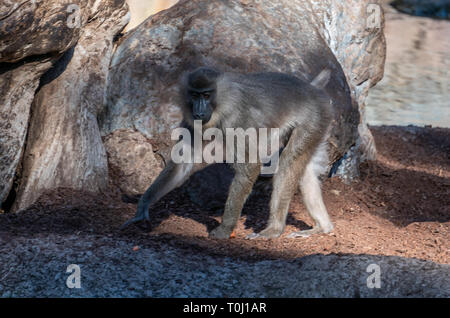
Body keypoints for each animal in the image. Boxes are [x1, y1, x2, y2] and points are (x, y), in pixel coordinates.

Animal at [121, 67, 336, 241]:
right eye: (194, 95)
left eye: (207, 95)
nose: (199, 111)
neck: (221, 105)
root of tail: (313, 90)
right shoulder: (192, 122)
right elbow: (182, 164)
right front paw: (143, 207)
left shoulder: (236, 120)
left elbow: (250, 165)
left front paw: (224, 229)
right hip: (320, 125)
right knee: (305, 171)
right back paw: (323, 227)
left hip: (313, 119)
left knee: (287, 164)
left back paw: (274, 229)